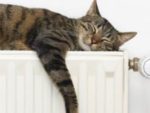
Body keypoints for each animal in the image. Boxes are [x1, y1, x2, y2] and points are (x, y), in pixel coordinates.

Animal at [0, 0, 137, 113]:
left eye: (105, 40)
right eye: (93, 28)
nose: (93, 40)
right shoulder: (50, 43)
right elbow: (67, 84)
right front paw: (73, 108)